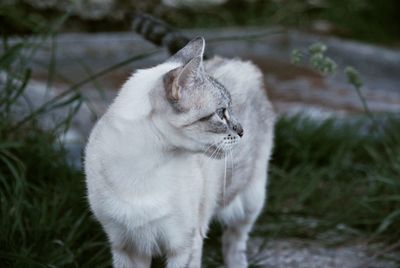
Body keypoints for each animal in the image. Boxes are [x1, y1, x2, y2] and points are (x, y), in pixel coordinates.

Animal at [85, 34, 276, 266]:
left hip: (251, 200)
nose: (241, 131)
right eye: (221, 113)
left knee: (235, 241)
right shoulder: (127, 246)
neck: (141, 170)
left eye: (229, 110)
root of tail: (238, 62)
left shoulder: (184, 245)